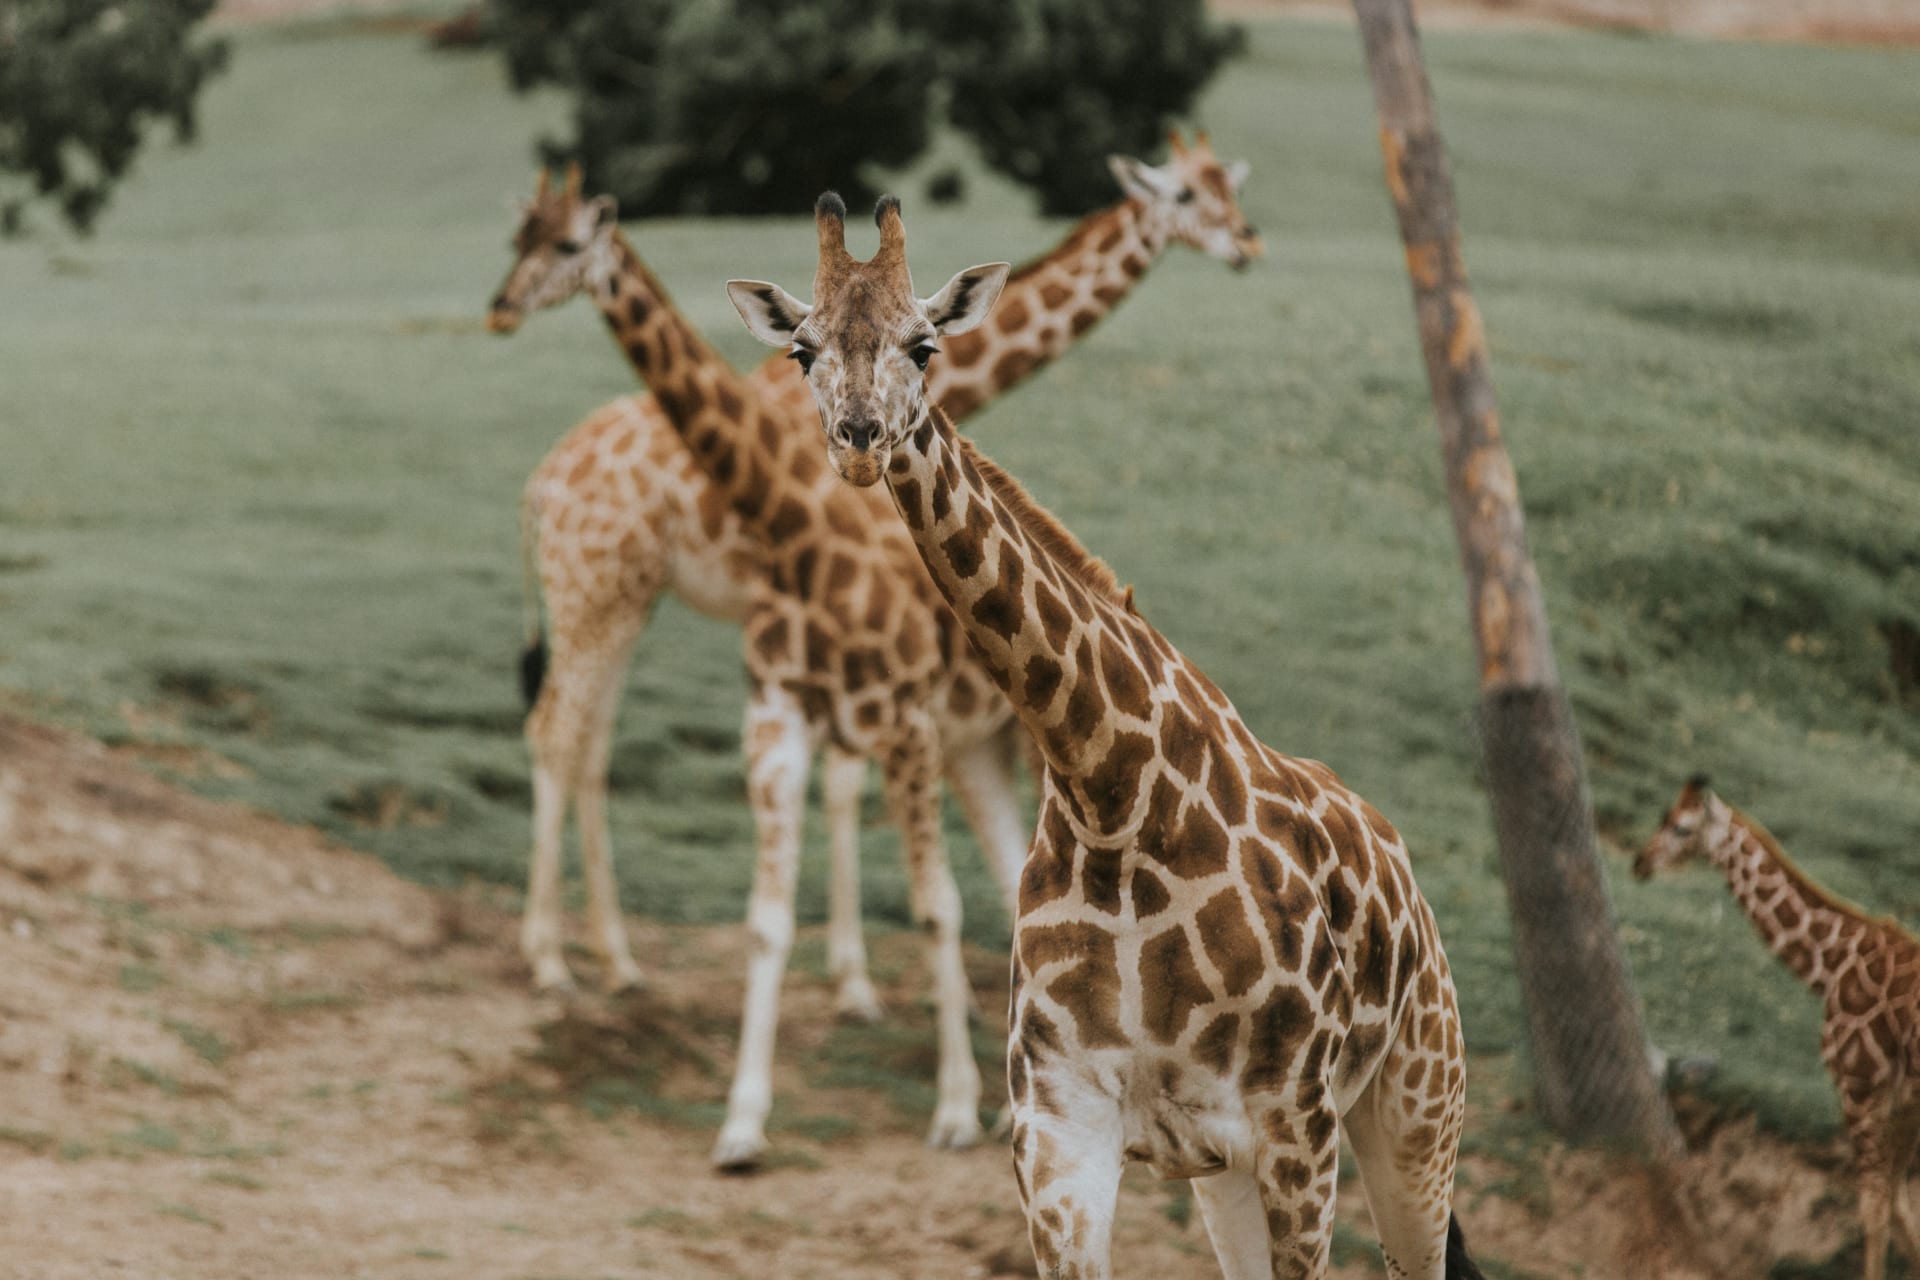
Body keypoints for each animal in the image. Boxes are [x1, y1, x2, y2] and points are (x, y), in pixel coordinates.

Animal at [490, 138, 1262, 1003]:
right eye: (1188, 197)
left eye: (1224, 191)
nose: (1245, 243)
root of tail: (539, 490)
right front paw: (855, 982)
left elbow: (841, 783)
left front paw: (850, 975)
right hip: (594, 595)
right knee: (557, 730)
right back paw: (552, 959)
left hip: (619, 600)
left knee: (585, 742)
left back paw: (611, 957)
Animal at [729, 196, 1481, 1279]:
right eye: (802, 349)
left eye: (924, 343)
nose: (860, 439)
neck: (1109, 792)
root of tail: (1403, 866)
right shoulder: (1059, 1133)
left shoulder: (1297, 1130)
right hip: (1228, 1176)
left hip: (1416, 1110)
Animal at [1637, 775, 1920, 1280]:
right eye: (1664, 818)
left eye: (1681, 827)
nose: (1639, 863)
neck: (1830, 968)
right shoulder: (1904, 1100)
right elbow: (1901, 1206)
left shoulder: (1859, 1084)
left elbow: (1874, 1206)